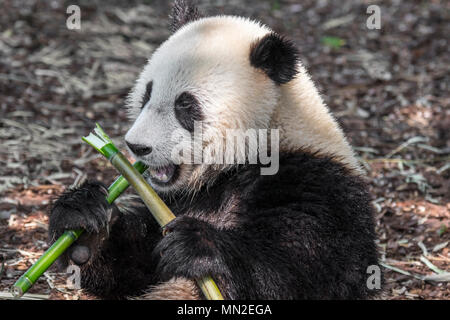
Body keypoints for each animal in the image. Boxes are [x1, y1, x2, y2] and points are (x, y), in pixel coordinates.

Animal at [48, 0, 380, 300]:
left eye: (185, 105)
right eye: (146, 95)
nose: (137, 146)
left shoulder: (317, 182)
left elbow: (306, 269)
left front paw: (196, 245)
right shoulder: (174, 202)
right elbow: (134, 265)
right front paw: (84, 225)